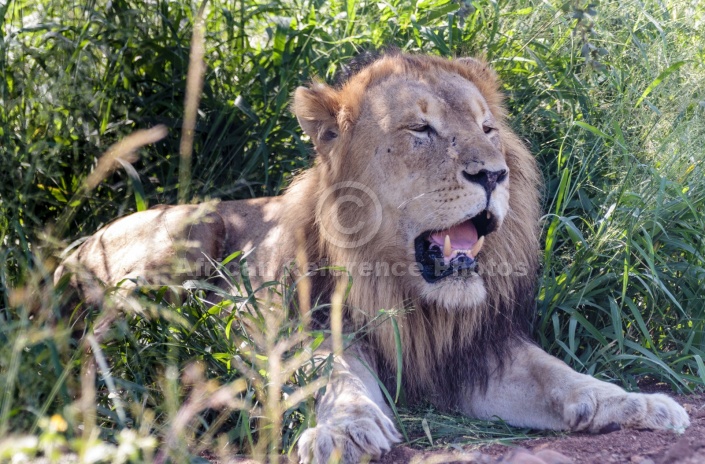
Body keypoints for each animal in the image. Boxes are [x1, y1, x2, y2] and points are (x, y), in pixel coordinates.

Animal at [55, 52, 688, 462]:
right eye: (421, 129)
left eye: (487, 128)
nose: (493, 174)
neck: (411, 296)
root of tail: (77, 242)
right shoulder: (308, 329)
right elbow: (336, 377)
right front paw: (348, 431)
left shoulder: (477, 353)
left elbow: (562, 377)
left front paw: (641, 403)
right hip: (180, 241)